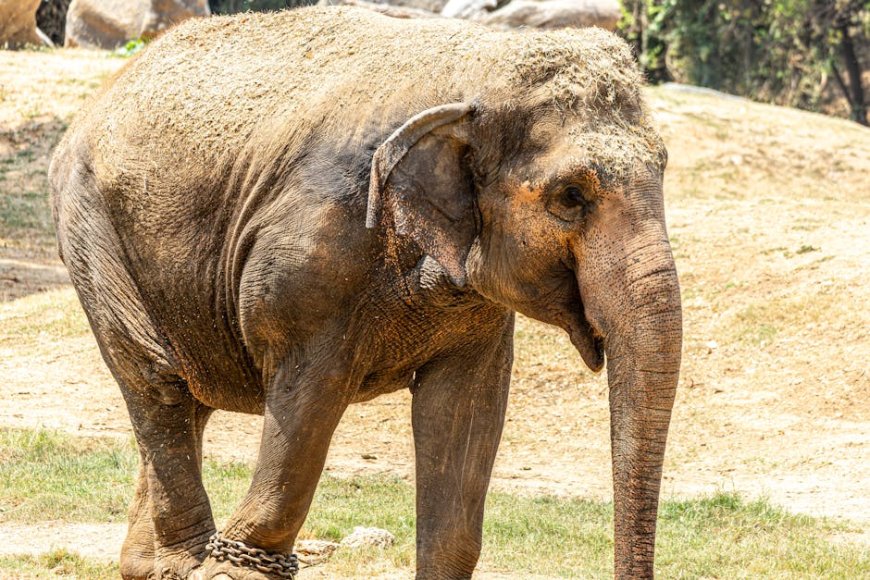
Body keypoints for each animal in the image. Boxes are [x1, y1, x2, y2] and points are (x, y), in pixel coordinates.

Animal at [49, 6, 682, 579]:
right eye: (571, 196)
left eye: (664, 167)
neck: (474, 63)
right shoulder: (313, 254)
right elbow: (311, 391)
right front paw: (235, 569)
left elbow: (465, 408)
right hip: (93, 233)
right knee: (158, 384)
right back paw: (185, 563)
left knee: (185, 400)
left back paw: (149, 565)